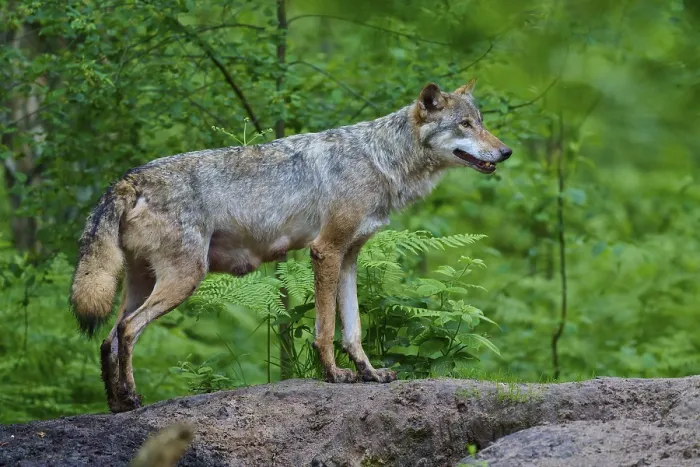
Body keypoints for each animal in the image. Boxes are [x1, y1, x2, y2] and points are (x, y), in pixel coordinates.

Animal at [70, 79, 512, 413]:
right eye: (465, 125)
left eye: (481, 123)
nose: (506, 151)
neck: (378, 159)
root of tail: (127, 179)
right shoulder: (325, 251)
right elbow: (326, 329)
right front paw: (334, 375)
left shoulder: (350, 258)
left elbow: (354, 330)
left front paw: (369, 374)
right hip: (184, 279)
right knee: (127, 330)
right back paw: (132, 398)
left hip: (145, 282)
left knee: (109, 338)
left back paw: (116, 405)